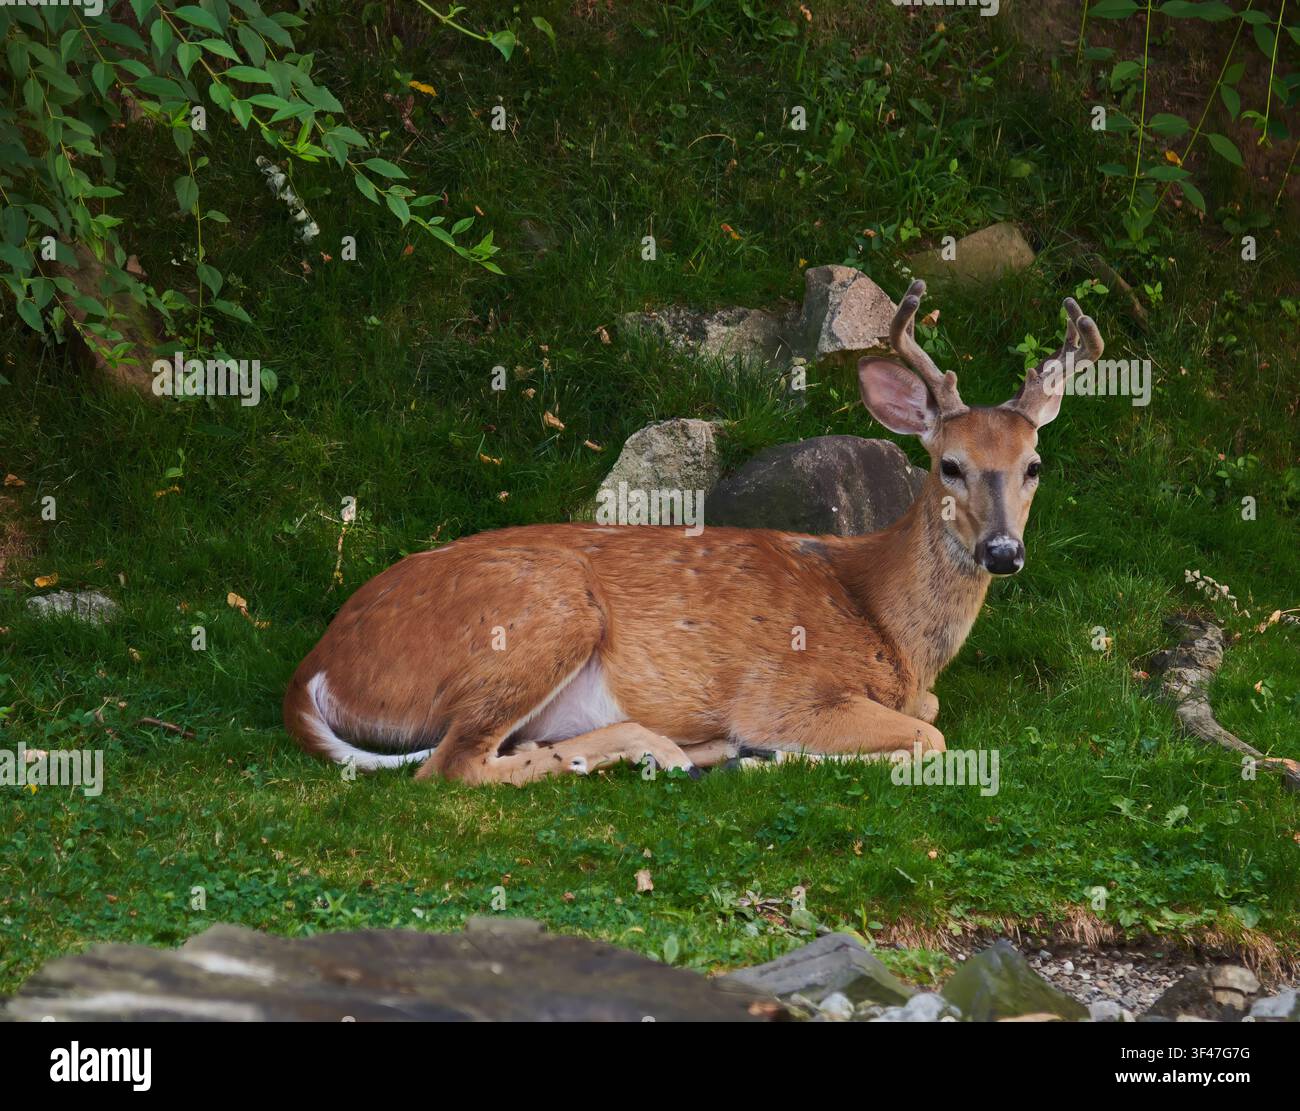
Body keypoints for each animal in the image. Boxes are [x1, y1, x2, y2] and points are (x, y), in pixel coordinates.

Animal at [283, 280, 1103, 785]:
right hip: (539, 617)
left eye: (1033, 464)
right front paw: (769, 757)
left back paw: (672, 749)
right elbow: (929, 734)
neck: (884, 620)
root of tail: (316, 666)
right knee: (451, 765)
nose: (1003, 551)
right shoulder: (785, 692)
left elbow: (927, 716)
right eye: (949, 464)